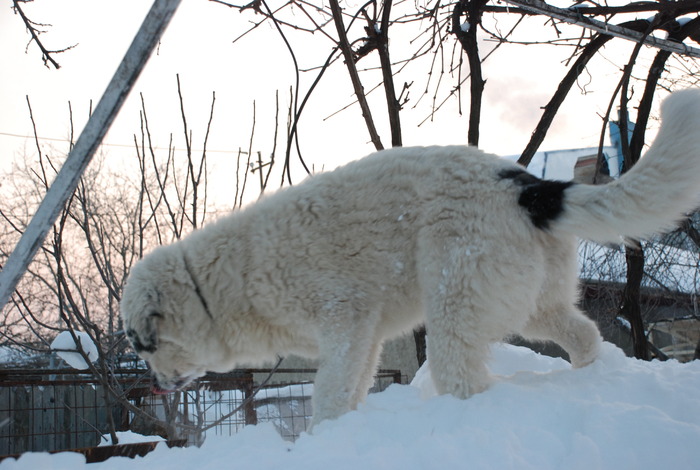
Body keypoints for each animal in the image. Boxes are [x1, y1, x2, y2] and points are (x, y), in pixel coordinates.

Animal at [123, 88, 700, 426]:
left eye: (141, 343)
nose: (151, 386)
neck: (216, 286)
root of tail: (526, 186)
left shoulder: (345, 321)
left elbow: (328, 392)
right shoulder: (366, 338)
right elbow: (351, 389)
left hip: (455, 307)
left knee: (465, 378)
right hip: (535, 305)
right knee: (585, 335)